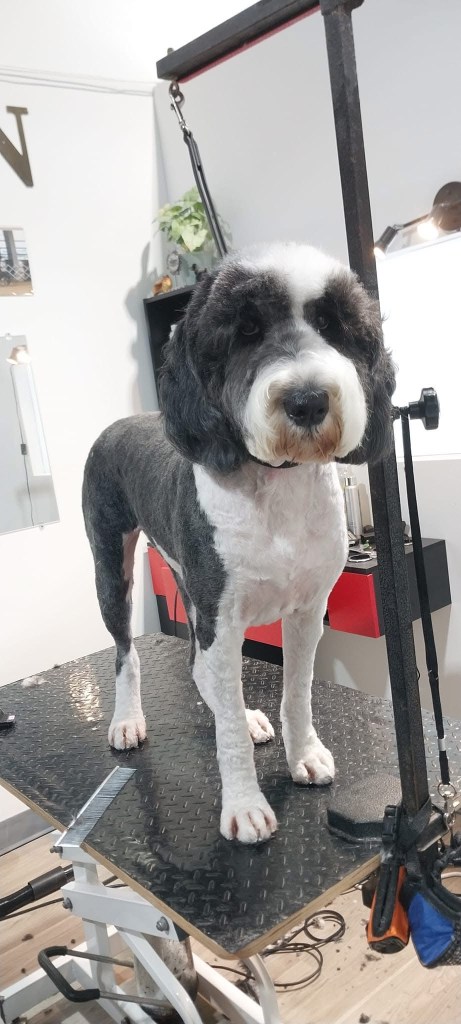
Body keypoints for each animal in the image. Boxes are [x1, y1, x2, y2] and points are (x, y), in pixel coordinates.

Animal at [82, 242, 395, 844]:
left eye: (331, 324)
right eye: (245, 330)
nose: (306, 400)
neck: (277, 485)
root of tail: (115, 424)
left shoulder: (307, 612)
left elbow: (297, 692)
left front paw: (305, 755)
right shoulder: (223, 621)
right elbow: (225, 727)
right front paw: (245, 807)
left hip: (189, 589)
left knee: (197, 665)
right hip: (113, 567)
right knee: (127, 652)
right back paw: (127, 719)